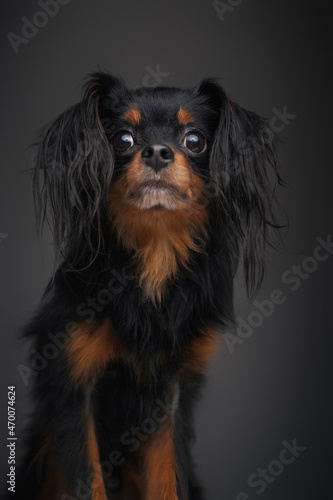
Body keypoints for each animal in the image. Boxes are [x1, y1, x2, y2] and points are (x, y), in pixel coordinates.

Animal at [9, 71, 280, 500]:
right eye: (123, 139)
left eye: (194, 140)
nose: (156, 152)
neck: (154, 252)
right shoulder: (74, 390)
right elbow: (89, 482)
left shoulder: (169, 398)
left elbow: (168, 481)